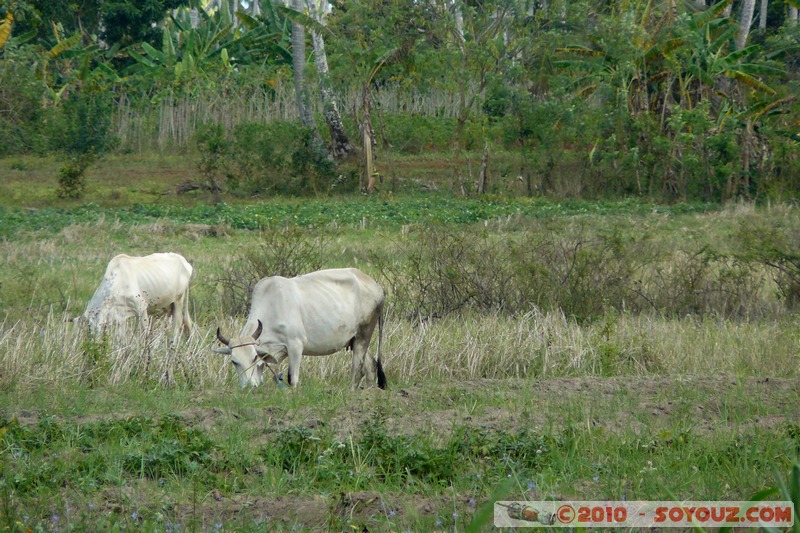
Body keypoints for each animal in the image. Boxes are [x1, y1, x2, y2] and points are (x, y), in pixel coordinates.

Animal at [212, 268, 388, 388]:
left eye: (254, 358)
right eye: (234, 362)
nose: (249, 387)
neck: (272, 306)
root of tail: (377, 287)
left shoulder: (295, 345)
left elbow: (293, 379)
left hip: (364, 334)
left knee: (357, 369)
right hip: (354, 339)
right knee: (370, 367)